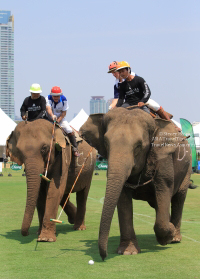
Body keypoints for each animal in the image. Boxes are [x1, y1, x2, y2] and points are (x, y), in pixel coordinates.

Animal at [80, 108, 192, 262]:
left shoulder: (163, 159)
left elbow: (164, 189)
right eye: (106, 143)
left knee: (179, 198)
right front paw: (128, 252)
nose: (103, 257)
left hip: (187, 168)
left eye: (139, 146)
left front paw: (167, 236)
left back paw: (175, 237)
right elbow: (123, 199)